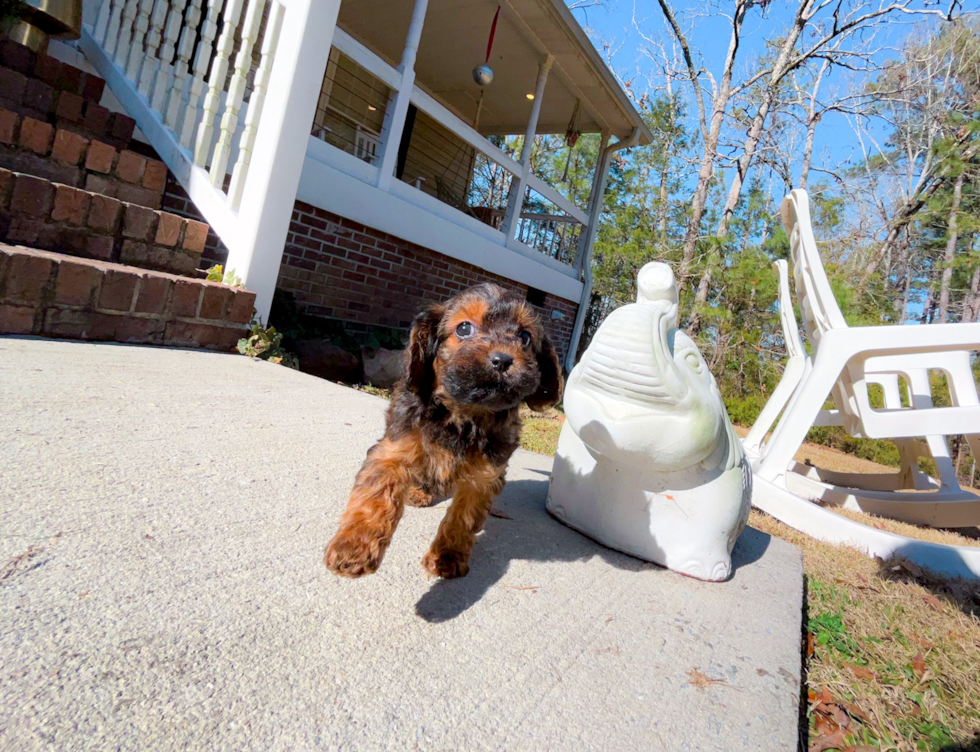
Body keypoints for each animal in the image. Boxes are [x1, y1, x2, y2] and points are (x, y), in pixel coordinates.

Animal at [326, 284, 564, 580]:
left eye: (525, 336)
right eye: (463, 328)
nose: (502, 360)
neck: (463, 414)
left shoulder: (484, 475)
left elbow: (464, 518)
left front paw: (447, 557)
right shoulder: (394, 448)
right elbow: (375, 496)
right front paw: (353, 547)